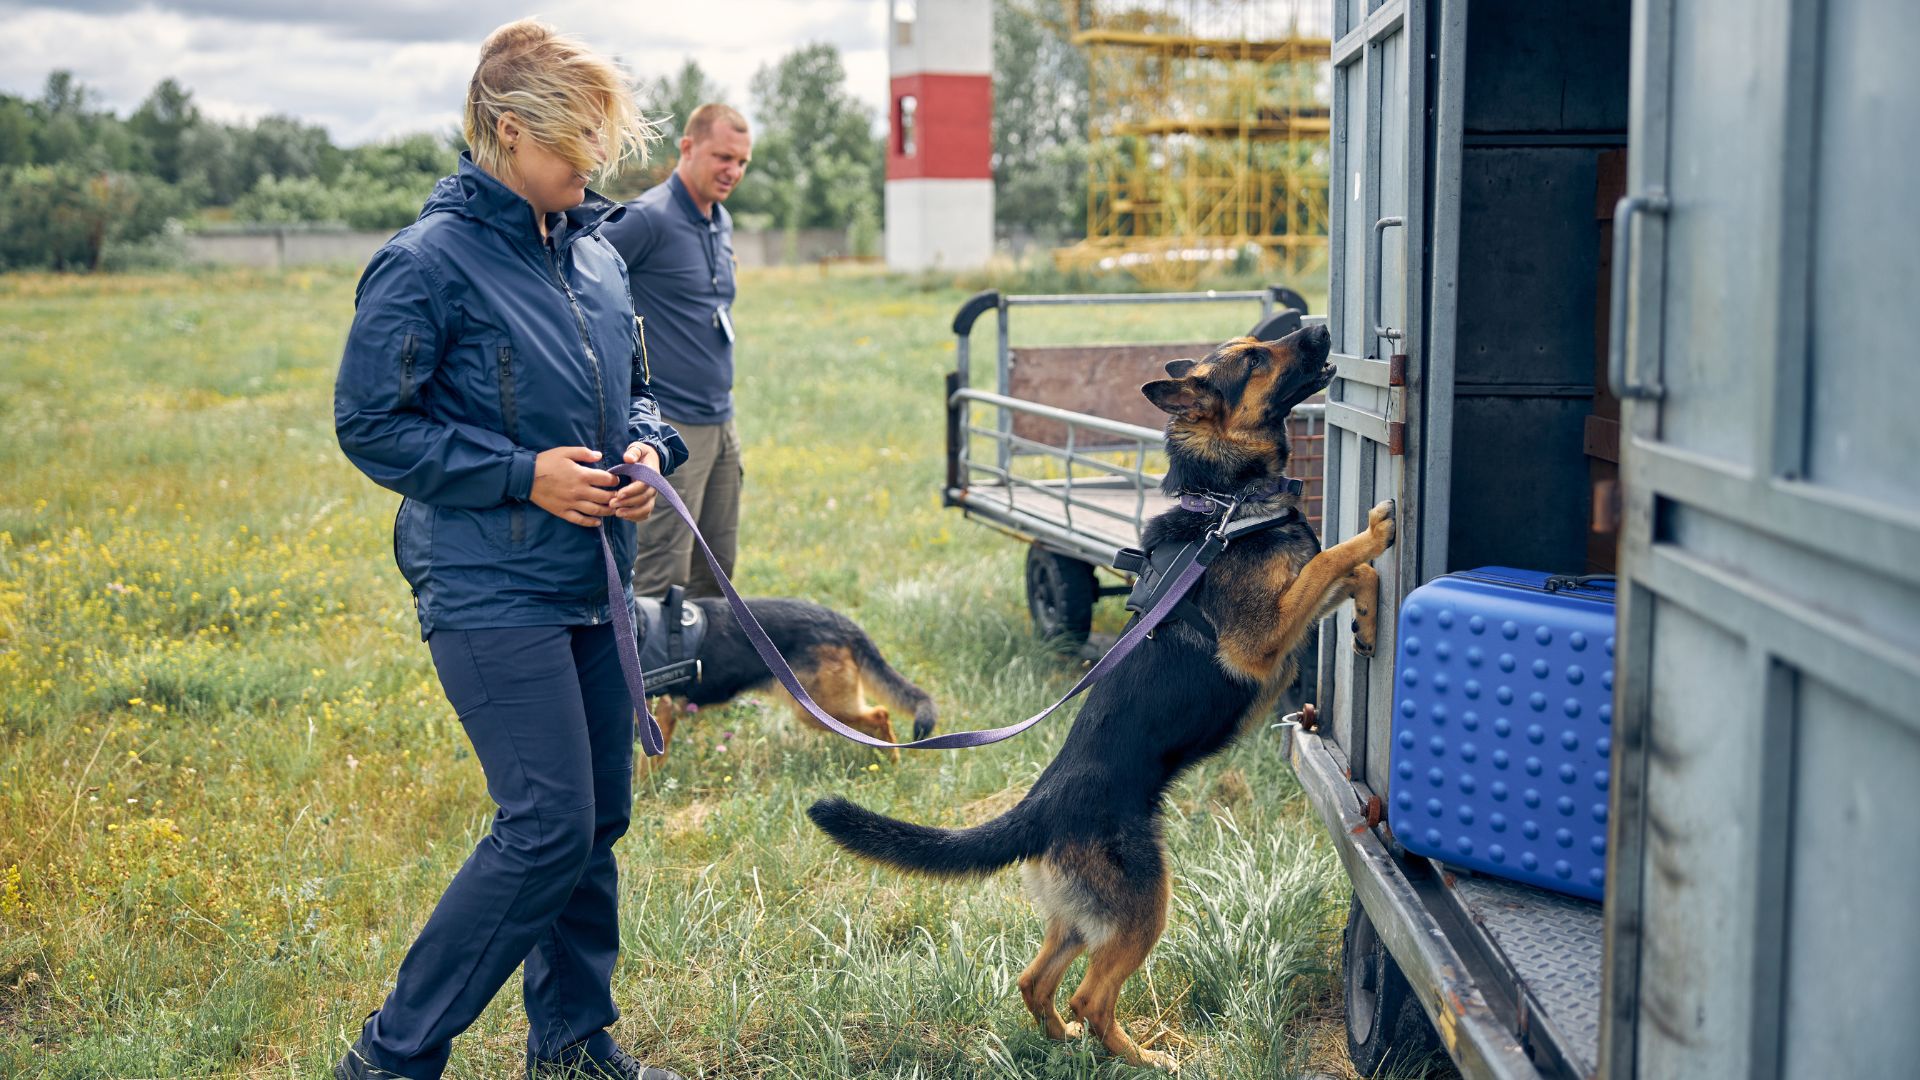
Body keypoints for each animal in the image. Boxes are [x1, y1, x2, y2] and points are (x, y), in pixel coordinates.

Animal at [802, 320, 1390, 1068]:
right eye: (1257, 357)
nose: (1318, 326)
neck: (1224, 504)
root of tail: (1039, 810)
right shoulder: (1264, 640)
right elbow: (1334, 558)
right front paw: (1378, 529)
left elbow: (1347, 574)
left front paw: (1369, 619)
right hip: (1144, 904)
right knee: (1089, 993)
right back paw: (1141, 1058)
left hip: (1084, 917)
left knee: (1034, 981)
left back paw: (1065, 1045)